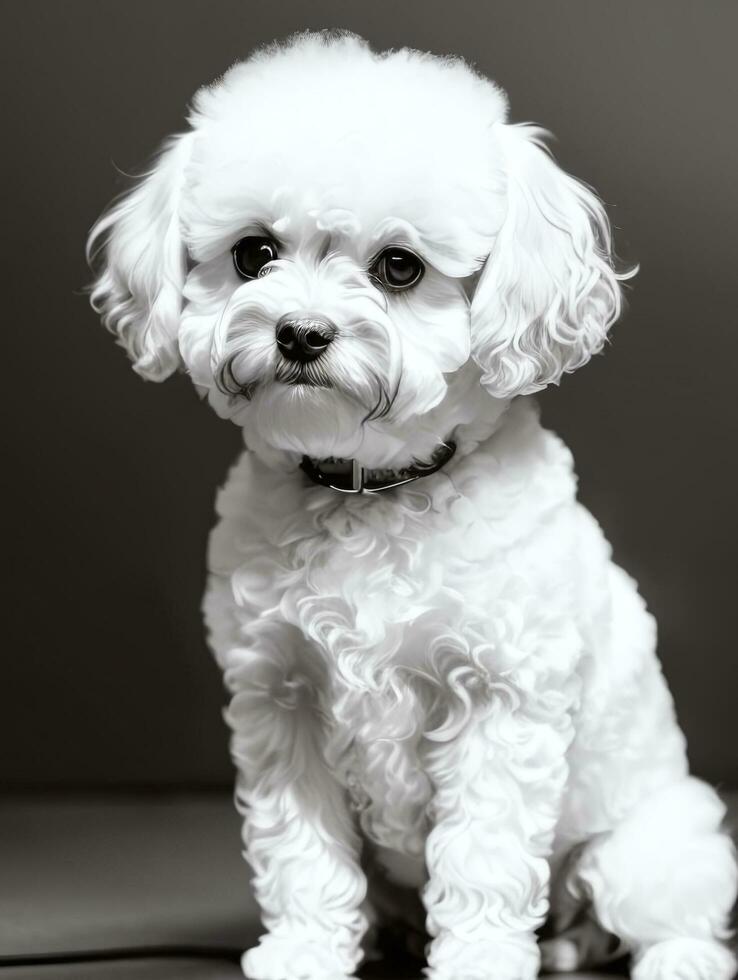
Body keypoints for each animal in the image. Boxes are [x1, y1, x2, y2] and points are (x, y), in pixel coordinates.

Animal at [89, 30, 732, 980]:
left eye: (400, 267)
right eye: (253, 255)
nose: (301, 333)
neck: (373, 492)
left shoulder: (500, 703)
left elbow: (483, 860)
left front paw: (477, 961)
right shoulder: (281, 702)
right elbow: (301, 853)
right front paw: (303, 950)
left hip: (648, 844)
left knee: (666, 910)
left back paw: (666, 957)